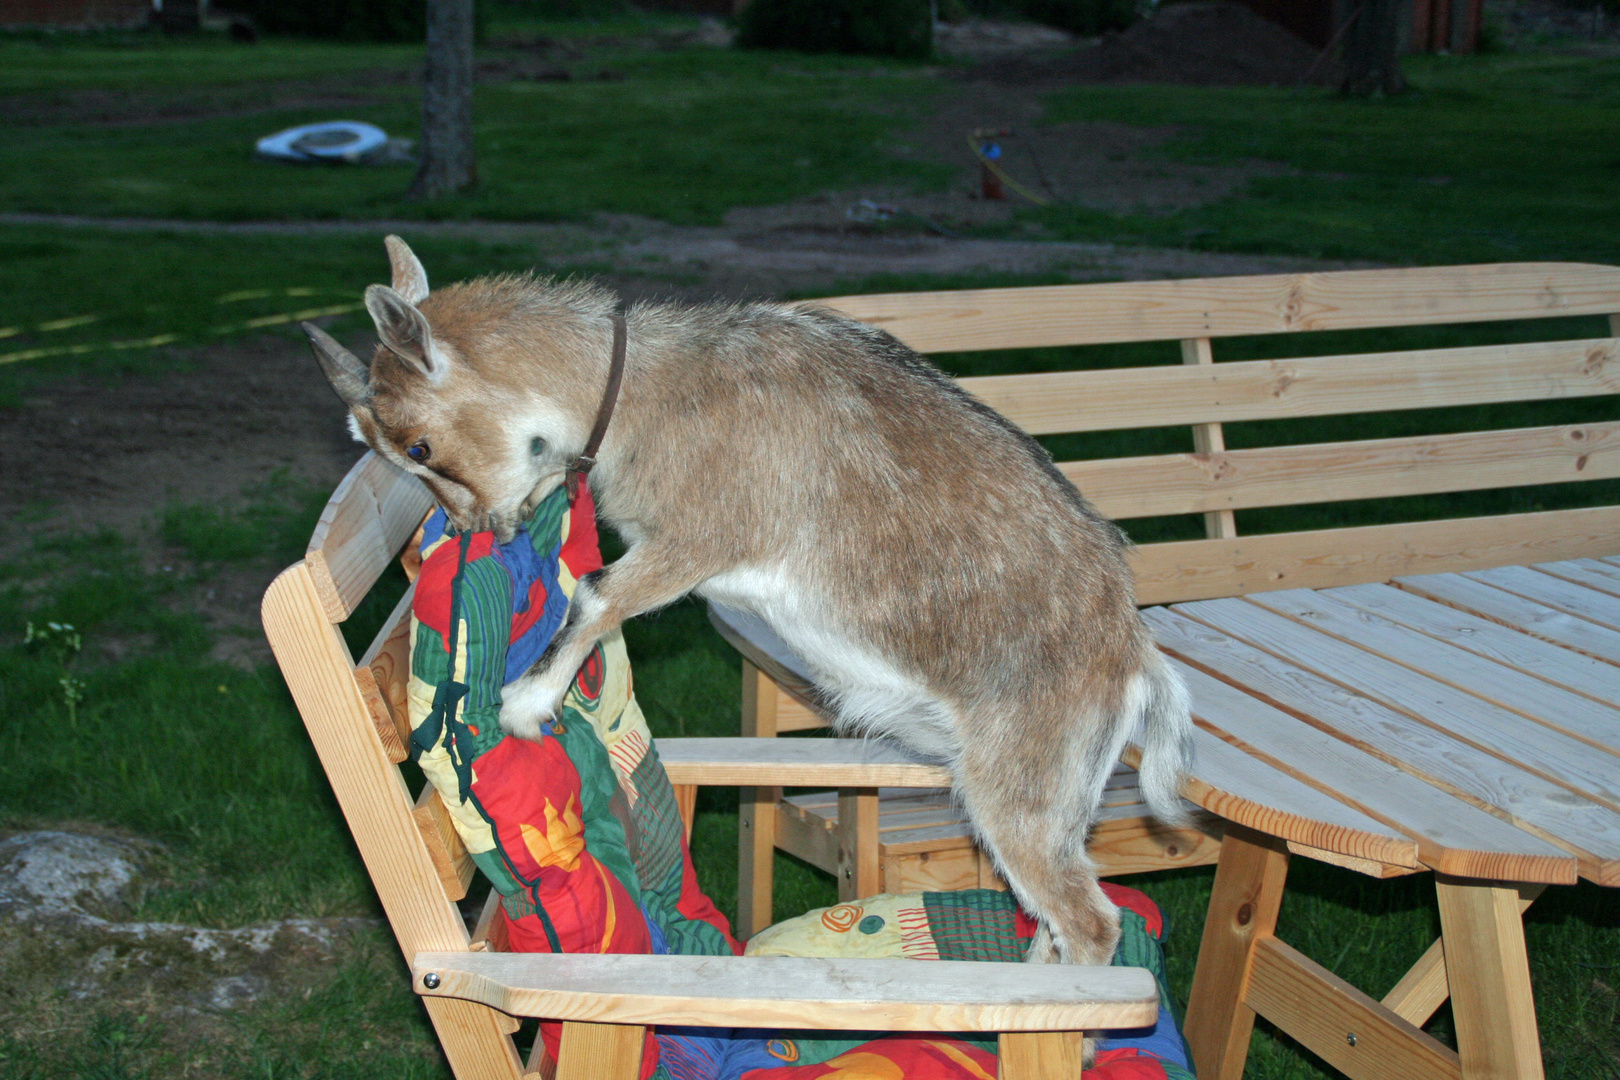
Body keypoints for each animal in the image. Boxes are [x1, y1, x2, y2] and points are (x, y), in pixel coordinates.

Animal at [304, 236, 1192, 971]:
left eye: (419, 445)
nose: (468, 530)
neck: (647, 393)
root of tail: (1130, 652)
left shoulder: (701, 535)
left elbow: (597, 594)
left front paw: (524, 703)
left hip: (1021, 785)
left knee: (1090, 921)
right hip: (1056, 795)